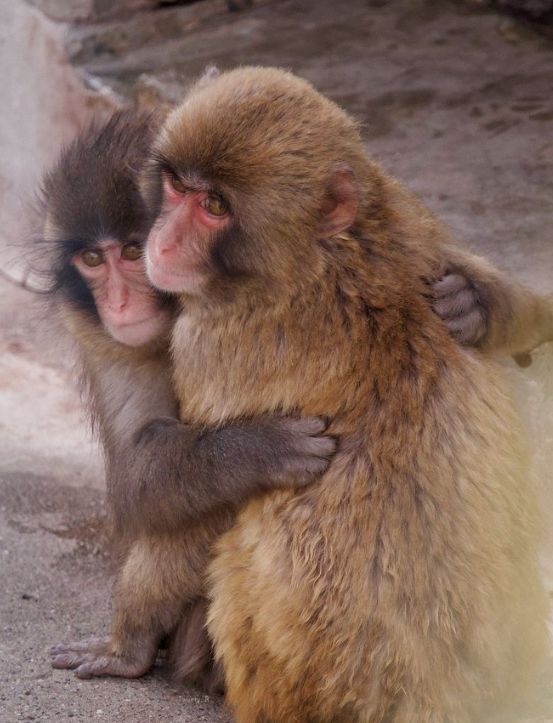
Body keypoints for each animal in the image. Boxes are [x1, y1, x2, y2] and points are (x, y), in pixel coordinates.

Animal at [47, 101, 552, 693]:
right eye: (92, 261)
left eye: (130, 249)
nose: (123, 301)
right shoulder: (107, 342)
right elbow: (138, 477)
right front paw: (257, 451)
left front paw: (478, 302)